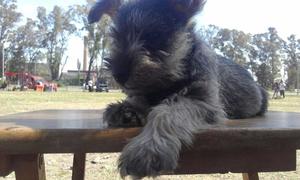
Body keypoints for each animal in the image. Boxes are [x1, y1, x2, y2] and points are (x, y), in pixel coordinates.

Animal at [88, 0, 268, 178]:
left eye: (155, 35)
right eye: (117, 37)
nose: (119, 74)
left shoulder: (202, 102)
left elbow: (168, 111)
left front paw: (148, 148)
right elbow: (141, 99)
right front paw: (127, 109)